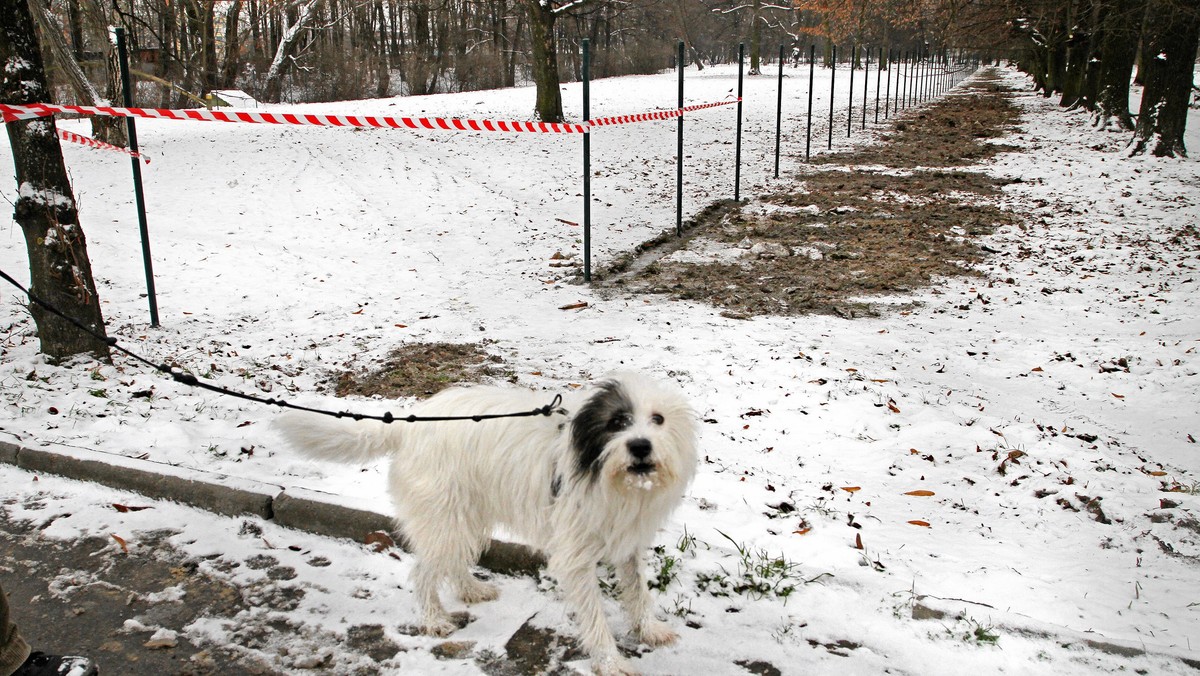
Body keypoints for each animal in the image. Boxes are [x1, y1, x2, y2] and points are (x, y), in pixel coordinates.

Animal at [274, 372, 700, 672]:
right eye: (618, 421)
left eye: (658, 419)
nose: (640, 446)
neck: (603, 472)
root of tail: (409, 424)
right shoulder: (575, 555)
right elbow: (594, 615)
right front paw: (610, 662)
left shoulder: (627, 541)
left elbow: (638, 591)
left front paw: (649, 630)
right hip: (446, 515)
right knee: (425, 572)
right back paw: (433, 619)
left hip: (465, 514)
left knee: (452, 562)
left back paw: (471, 590)